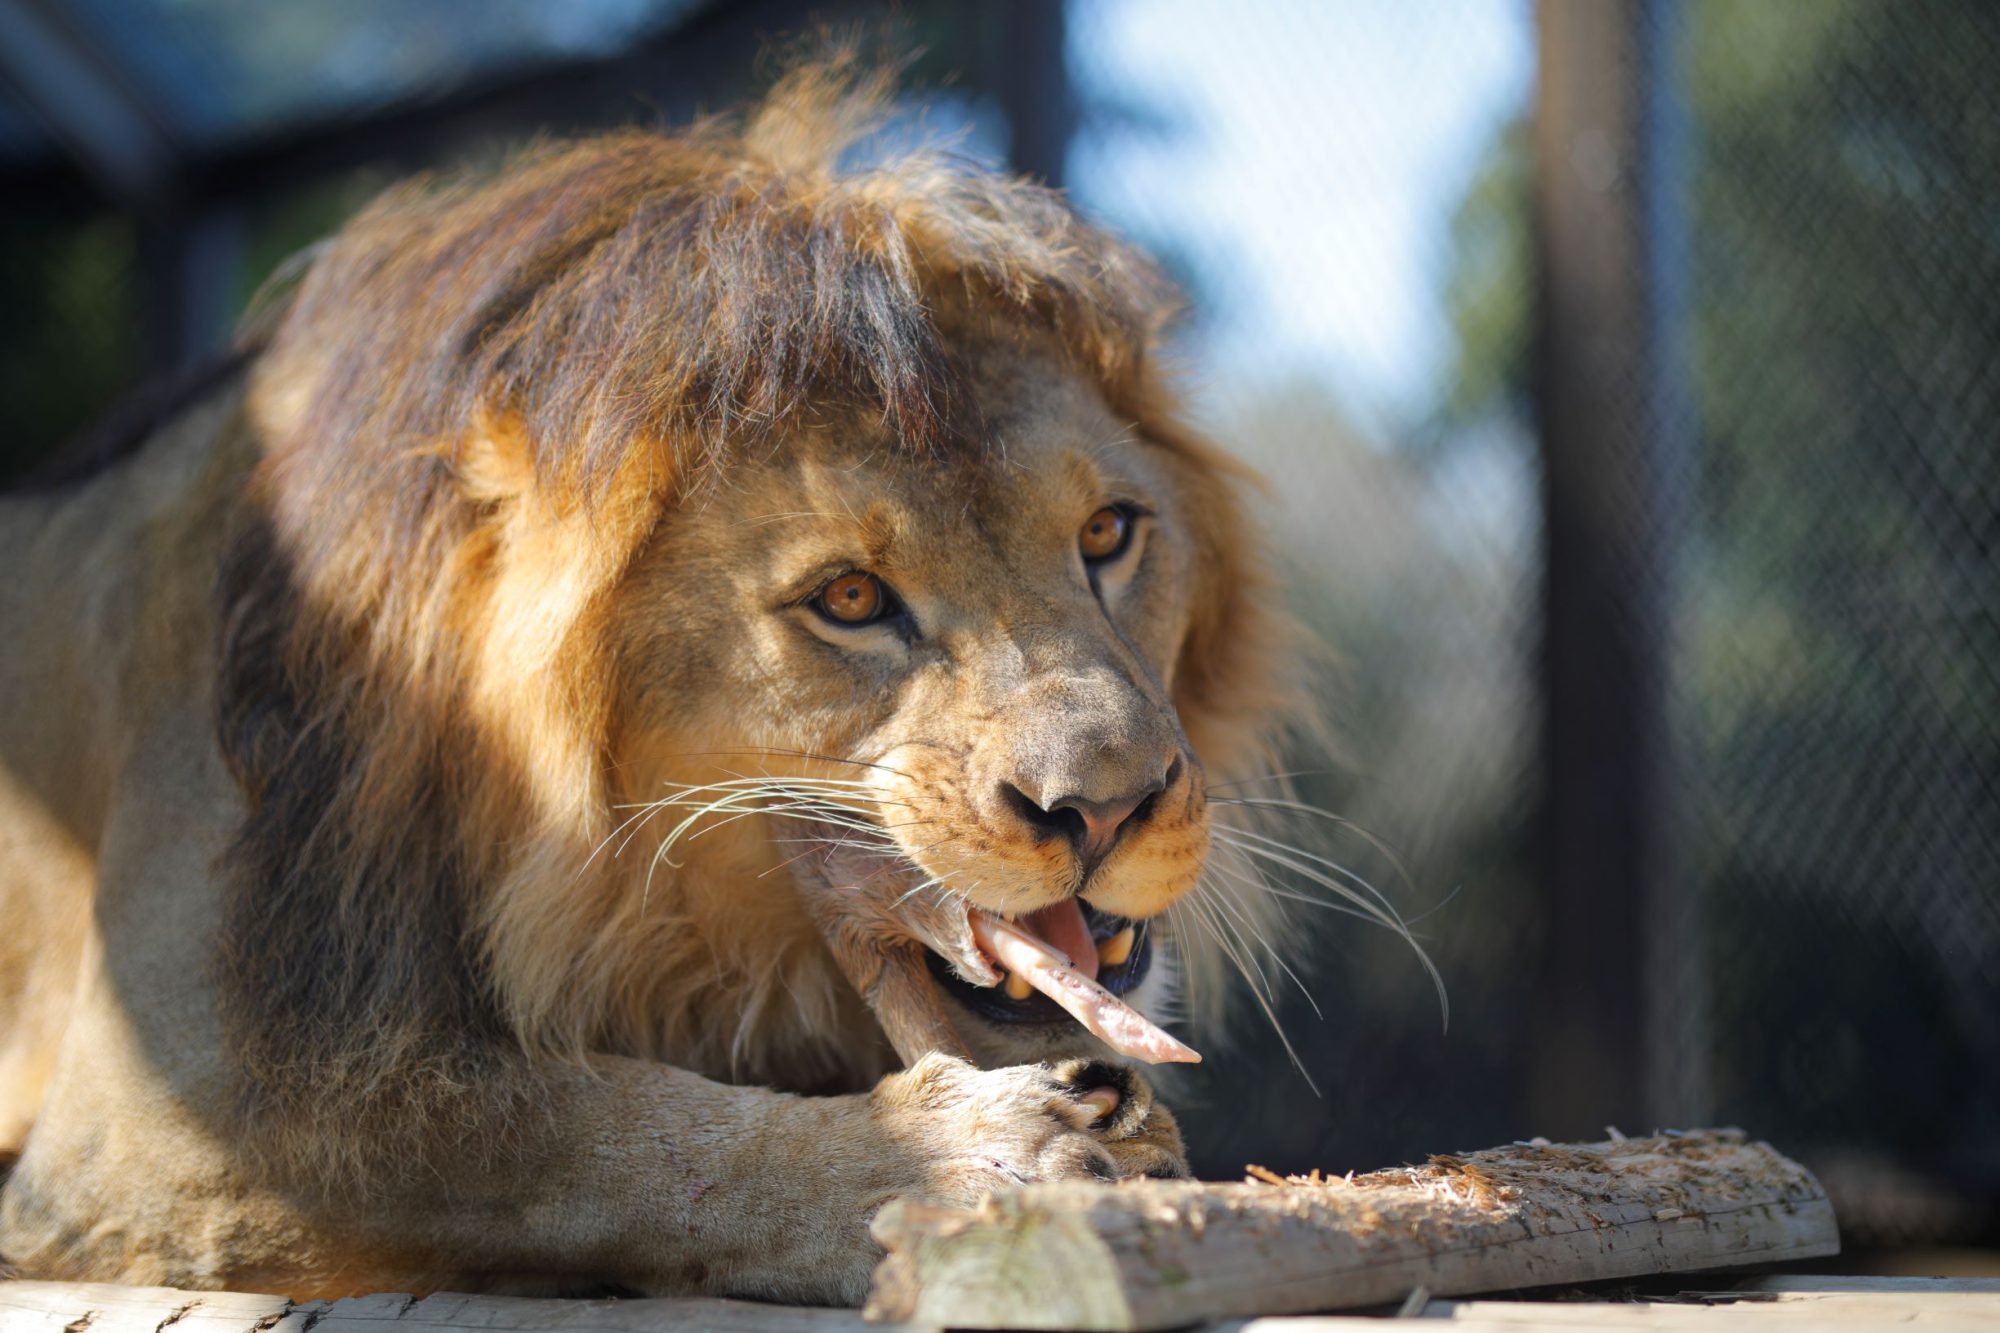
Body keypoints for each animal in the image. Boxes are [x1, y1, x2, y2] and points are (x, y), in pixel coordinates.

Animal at [0, 59, 1296, 1296]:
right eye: (849, 599)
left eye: (1106, 534)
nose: (1110, 806)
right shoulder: (164, 1101)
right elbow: (540, 1131)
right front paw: (974, 1157)